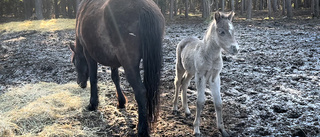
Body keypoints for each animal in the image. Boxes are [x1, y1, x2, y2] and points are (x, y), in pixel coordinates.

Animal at [69, 0, 165, 136]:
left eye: (74, 62)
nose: (79, 83)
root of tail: (143, 8)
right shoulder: (113, 61)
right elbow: (115, 78)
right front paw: (121, 101)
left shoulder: (89, 55)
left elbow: (93, 79)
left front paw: (93, 104)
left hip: (129, 65)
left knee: (140, 91)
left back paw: (142, 129)